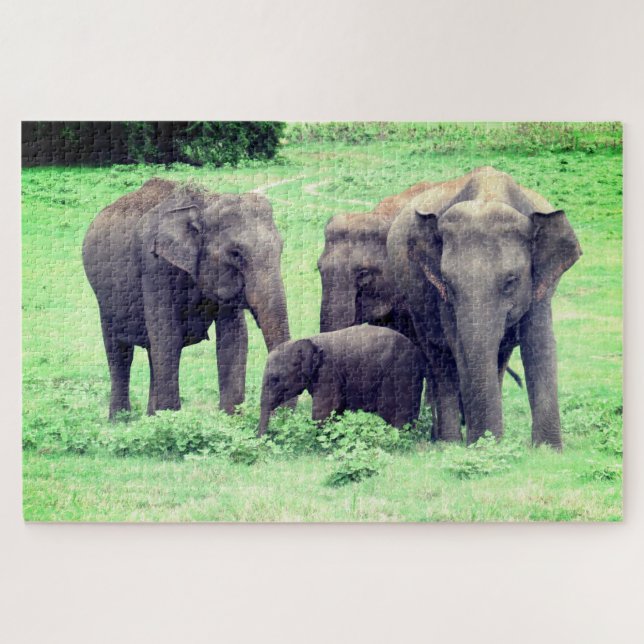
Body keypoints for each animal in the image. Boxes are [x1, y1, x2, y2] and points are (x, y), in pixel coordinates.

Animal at [83, 178, 291, 419]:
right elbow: (168, 336)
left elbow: (234, 336)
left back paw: (150, 417)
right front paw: (170, 422)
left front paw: (229, 420)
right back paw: (120, 422)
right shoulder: (155, 266)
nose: (280, 416)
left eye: (281, 248)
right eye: (236, 254)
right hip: (103, 296)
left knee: (152, 352)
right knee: (120, 352)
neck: (205, 203)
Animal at [257, 325, 425, 436]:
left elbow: (323, 410)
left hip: (401, 374)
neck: (307, 340)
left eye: (275, 380)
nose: (263, 438)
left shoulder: (328, 372)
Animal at [387, 166, 582, 448]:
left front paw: (548, 450)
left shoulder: (542, 282)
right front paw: (484, 446)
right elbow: (458, 346)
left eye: (511, 281)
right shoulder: (440, 293)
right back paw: (448, 442)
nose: (486, 441)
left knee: (499, 356)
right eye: (448, 282)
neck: (489, 193)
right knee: (439, 358)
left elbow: (539, 343)